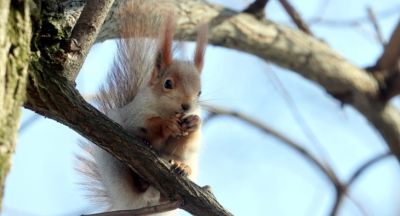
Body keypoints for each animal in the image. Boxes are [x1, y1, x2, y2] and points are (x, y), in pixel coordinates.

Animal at [77, 0, 209, 213]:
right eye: (168, 83)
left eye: (200, 92)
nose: (187, 107)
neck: (167, 109)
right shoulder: (135, 112)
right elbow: (147, 122)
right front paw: (167, 124)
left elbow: (188, 141)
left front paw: (194, 123)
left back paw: (183, 167)